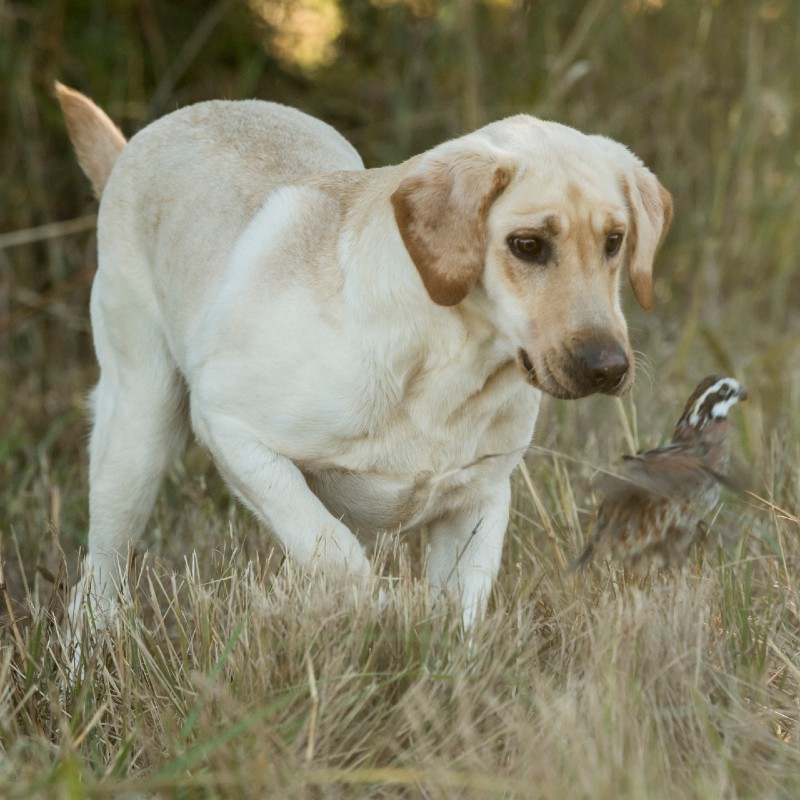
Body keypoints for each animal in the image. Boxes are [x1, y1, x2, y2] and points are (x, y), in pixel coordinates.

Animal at [54, 84, 668, 628]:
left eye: (615, 241)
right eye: (528, 245)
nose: (608, 367)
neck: (447, 371)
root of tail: (142, 140)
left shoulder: (479, 501)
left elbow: (458, 619)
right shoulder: (230, 428)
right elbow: (340, 559)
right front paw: (390, 612)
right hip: (136, 439)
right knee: (96, 586)